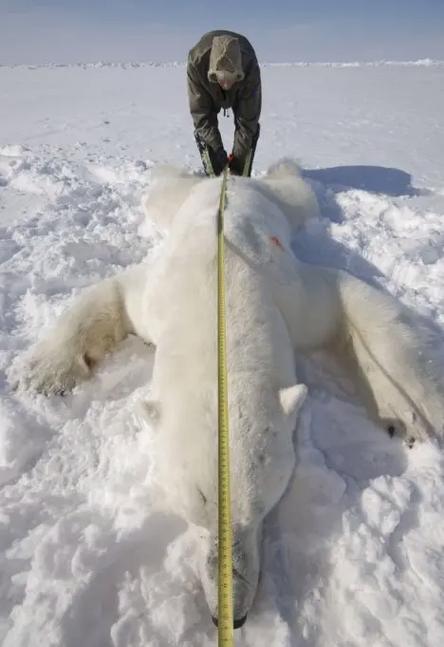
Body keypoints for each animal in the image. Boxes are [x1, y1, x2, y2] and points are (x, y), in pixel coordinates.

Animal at [12, 161, 444, 628]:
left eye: (260, 506)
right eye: (196, 508)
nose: (231, 615)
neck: (221, 292)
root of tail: (227, 178)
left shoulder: (289, 295)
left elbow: (365, 307)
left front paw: (424, 407)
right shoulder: (159, 295)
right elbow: (111, 293)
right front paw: (38, 376)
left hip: (280, 203)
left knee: (297, 193)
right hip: (178, 201)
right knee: (162, 192)